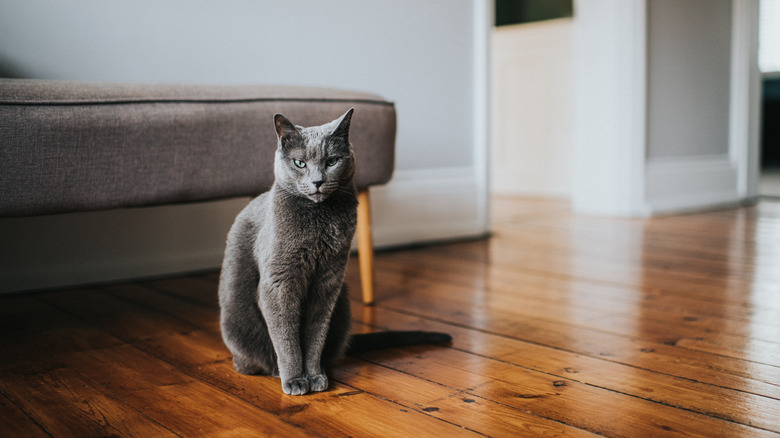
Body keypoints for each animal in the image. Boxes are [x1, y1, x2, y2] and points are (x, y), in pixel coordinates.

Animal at [219, 108, 450, 396]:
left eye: (332, 161)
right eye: (300, 163)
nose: (318, 181)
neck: (320, 221)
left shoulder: (328, 282)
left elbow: (315, 336)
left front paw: (314, 376)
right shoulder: (279, 283)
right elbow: (287, 337)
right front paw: (295, 379)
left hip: (343, 304)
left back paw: (323, 369)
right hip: (236, 318)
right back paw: (272, 370)